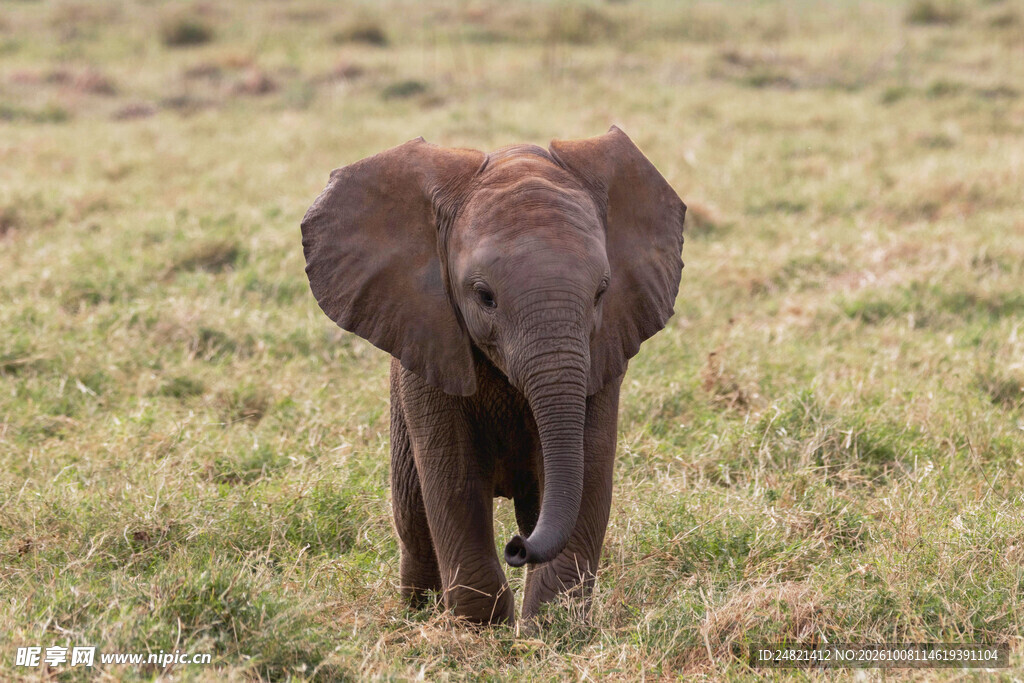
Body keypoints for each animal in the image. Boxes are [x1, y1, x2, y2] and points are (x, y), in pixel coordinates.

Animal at [301, 126, 685, 624]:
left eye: (602, 292)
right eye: (484, 297)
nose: (516, 548)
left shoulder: (604, 351)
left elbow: (590, 469)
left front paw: (552, 628)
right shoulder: (428, 345)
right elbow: (453, 478)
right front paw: (482, 628)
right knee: (413, 518)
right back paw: (418, 613)